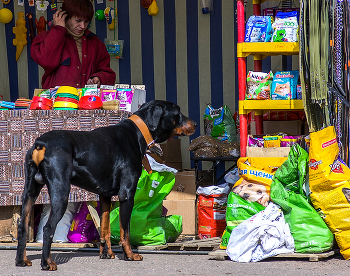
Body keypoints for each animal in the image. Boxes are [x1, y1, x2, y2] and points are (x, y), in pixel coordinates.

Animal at [15, 100, 197, 270]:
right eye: (178, 112)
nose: (195, 124)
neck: (137, 132)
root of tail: (40, 143)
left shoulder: (104, 195)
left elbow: (105, 228)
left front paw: (106, 254)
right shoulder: (127, 194)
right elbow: (125, 231)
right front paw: (130, 255)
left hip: (30, 191)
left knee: (22, 226)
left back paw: (21, 260)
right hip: (61, 193)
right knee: (48, 229)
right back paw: (47, 263)